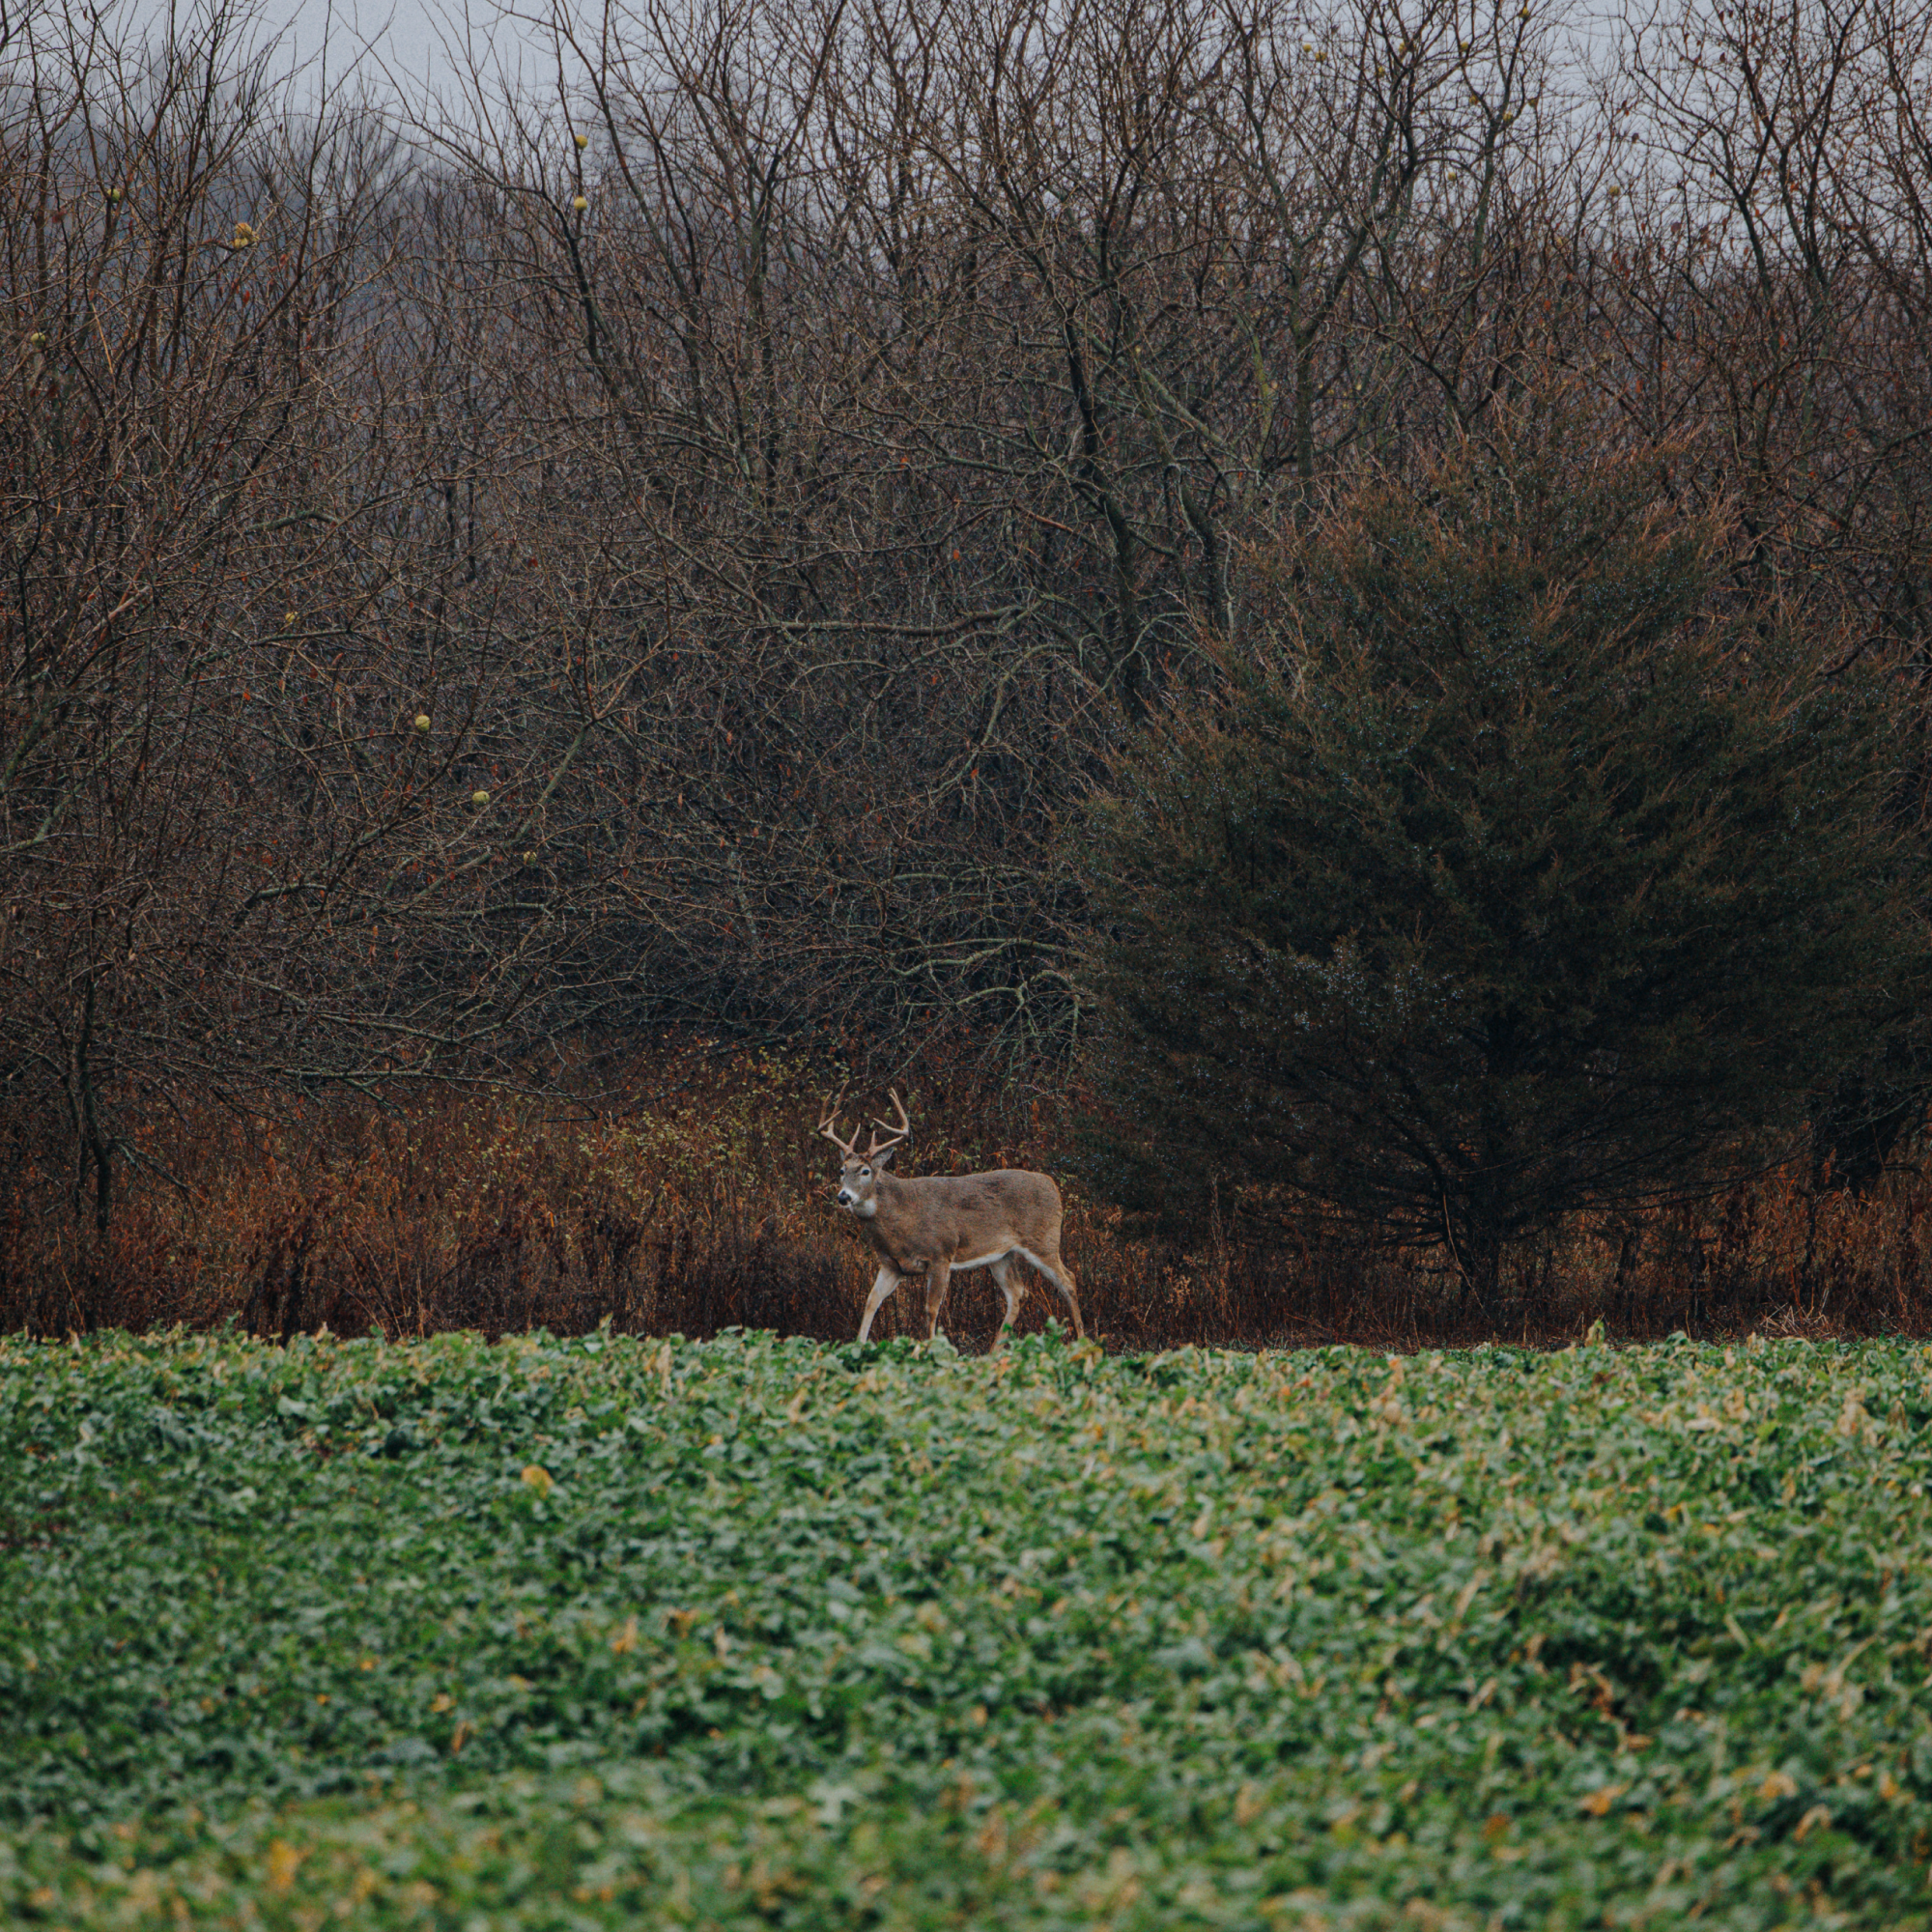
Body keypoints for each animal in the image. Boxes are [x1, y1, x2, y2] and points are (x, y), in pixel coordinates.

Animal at [819, 1090, 1090, 1345]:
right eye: (841, 1171)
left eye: (865, 1171)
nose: (843, 1196)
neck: (901, 1218)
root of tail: (1052, 1185)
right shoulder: (891, 1265)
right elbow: (870, 1302)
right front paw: (859, 1348)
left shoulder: (940, 1255)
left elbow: (930, 1310)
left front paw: (930, 1350)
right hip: (1002, 1255)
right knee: (1017, 1293)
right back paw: (993, 1353)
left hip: (1043, 1240)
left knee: (1068, 1280)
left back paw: (1083, 1341)